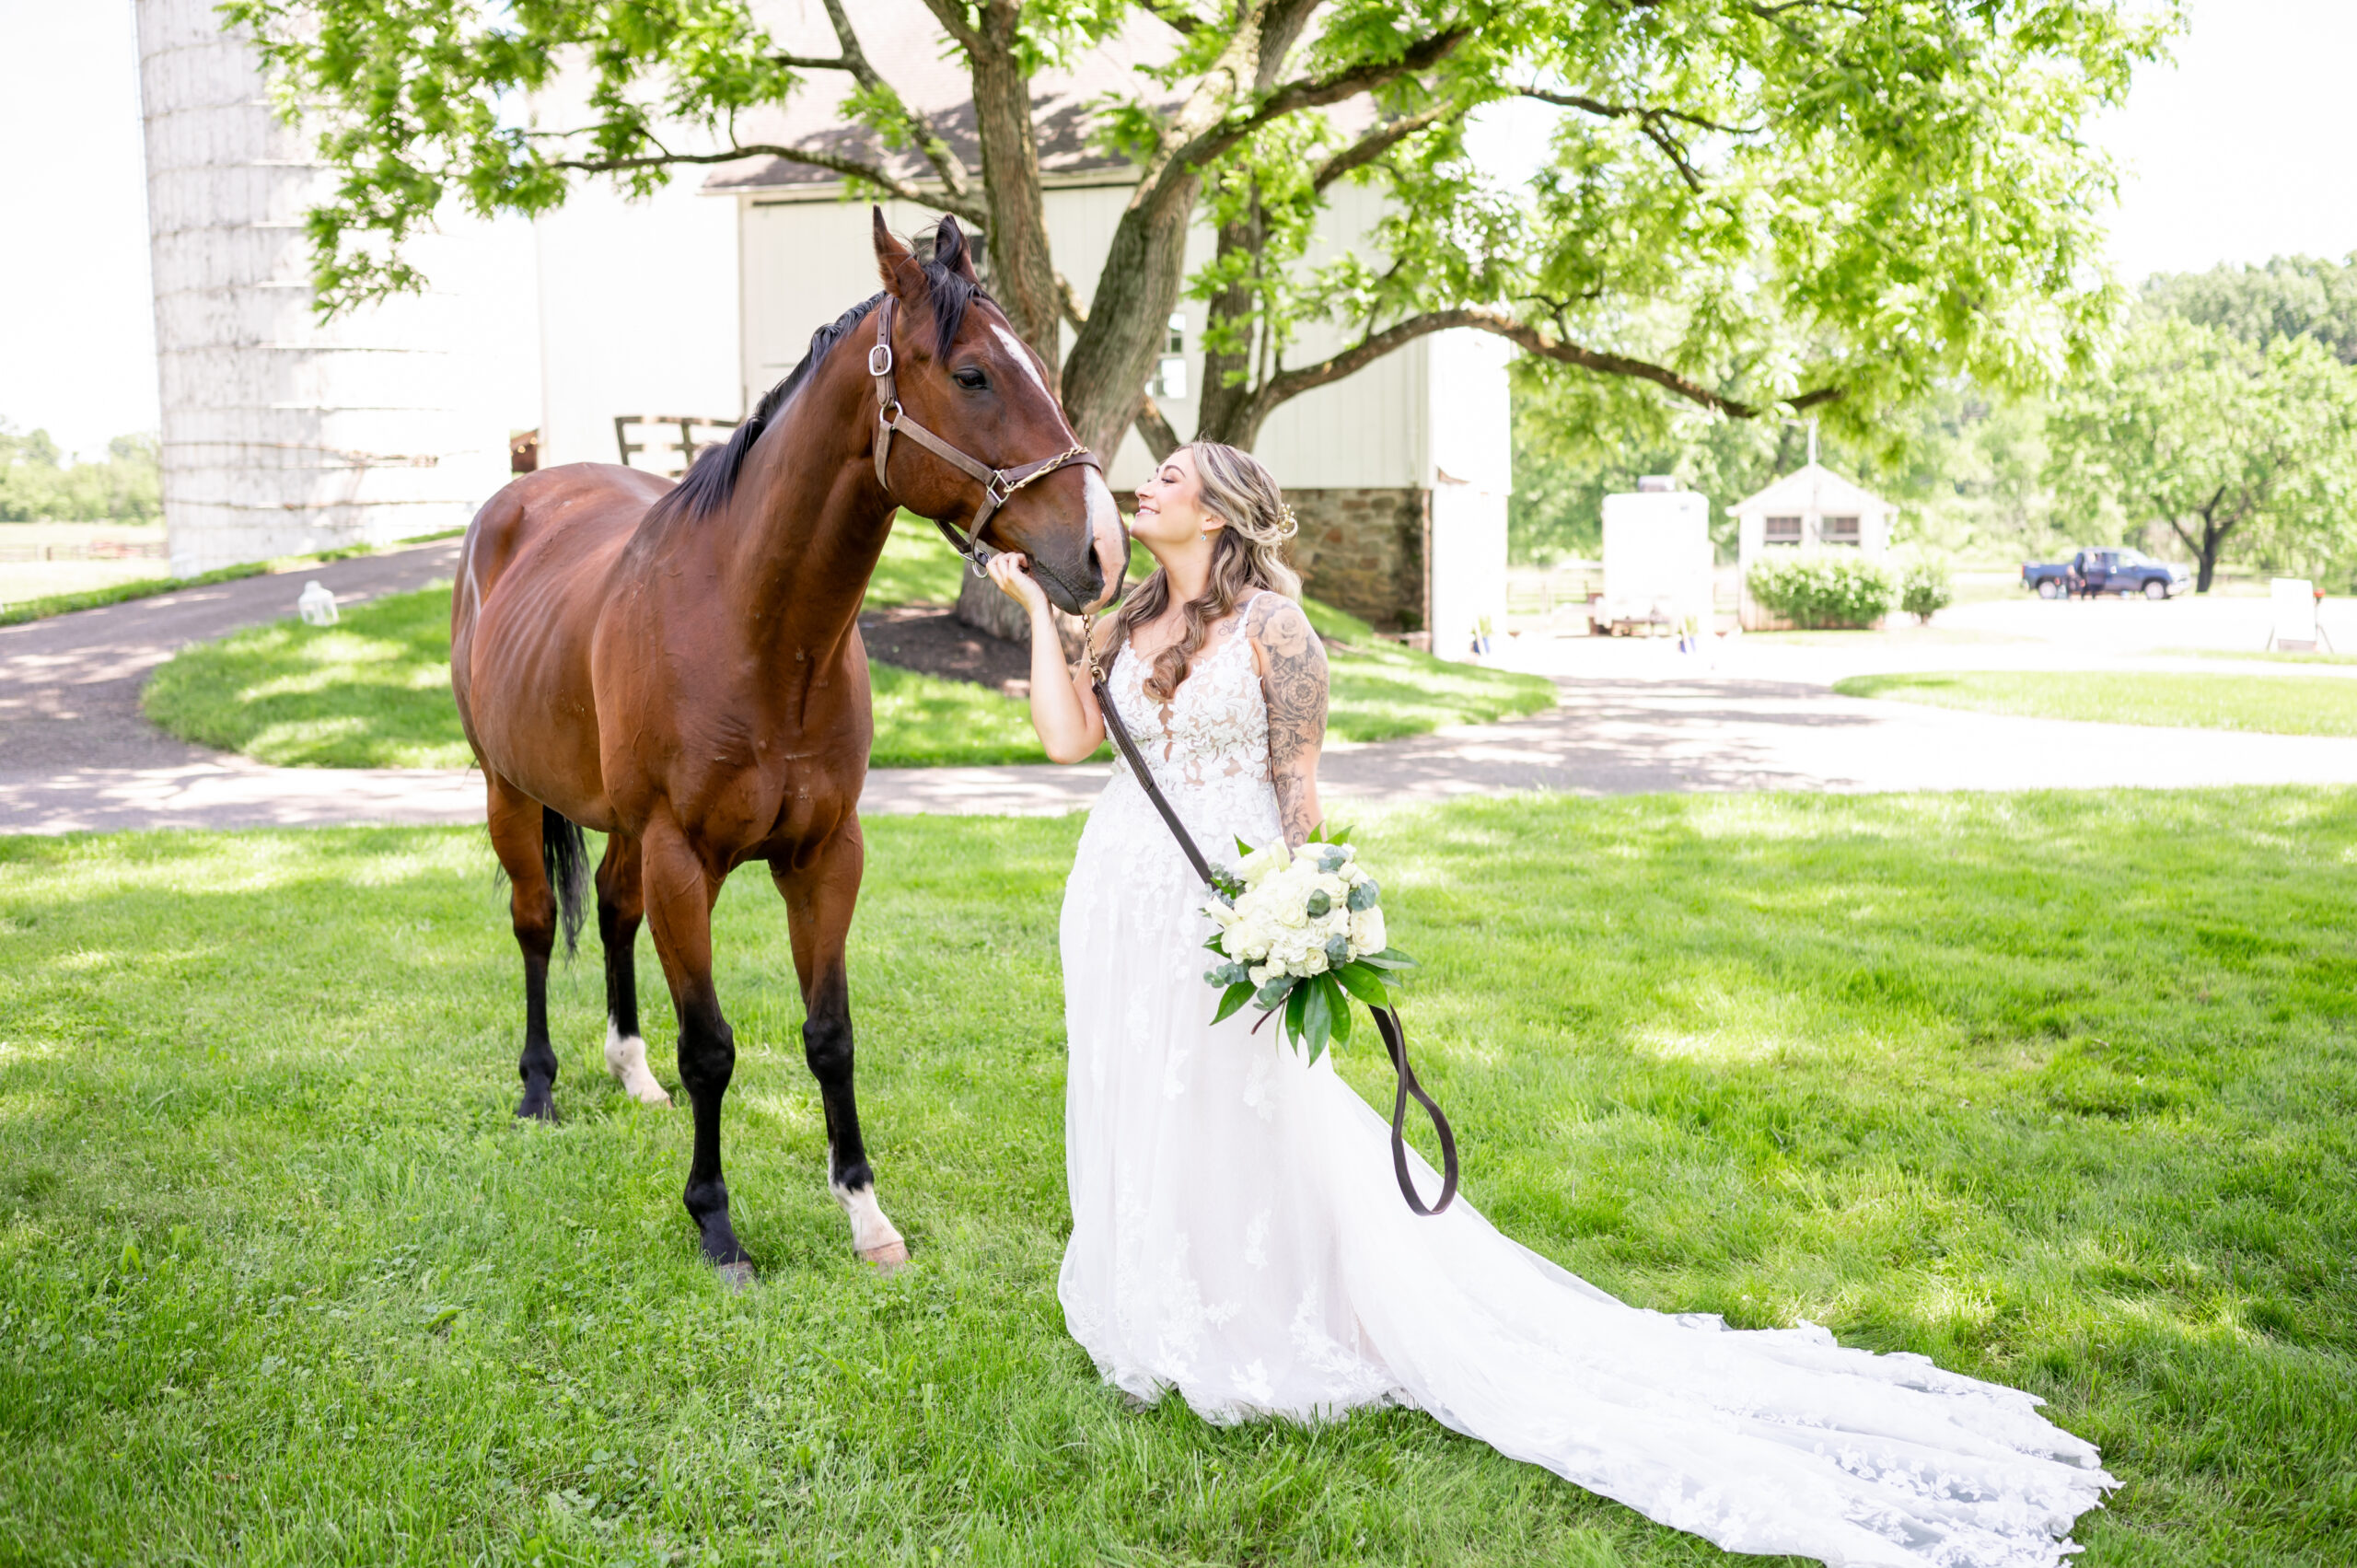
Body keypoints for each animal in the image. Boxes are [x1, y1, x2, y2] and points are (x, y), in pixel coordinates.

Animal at [457, 207, 1131, 1283]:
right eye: (975, 374)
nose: (1102, 551)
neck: (755, 629)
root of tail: (518, 499)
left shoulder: (824, 855)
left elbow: (830, 1034)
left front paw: (865, 1213)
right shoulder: (684, 858)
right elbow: (711, 1048)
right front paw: (716, 1224)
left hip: (619, 828)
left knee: (609, 909)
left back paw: (628, 1070)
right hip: (509, 794)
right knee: (534, 921)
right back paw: (539, 1087)